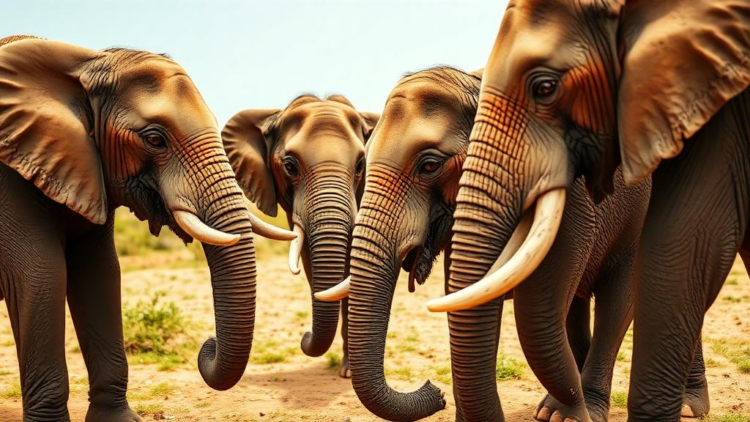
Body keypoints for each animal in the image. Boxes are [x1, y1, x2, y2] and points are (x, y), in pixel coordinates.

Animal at [0, 36, 294, 421]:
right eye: (155, 139)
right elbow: (41, 275)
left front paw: (118, 420)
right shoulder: (9, 180)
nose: (208, 345)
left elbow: (100, 274)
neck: (83, 63)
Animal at [317, 66, 667, 422]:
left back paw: (572, 412)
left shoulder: (569, 195)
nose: (434, 391)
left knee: (616, 300)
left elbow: (540, 298)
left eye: (429, 165)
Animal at [425, 1, 750, 421]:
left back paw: (687, 406)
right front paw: (561, 411)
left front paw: (573, 413)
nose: (435, 395)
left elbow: (615, 297)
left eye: (545, 89)